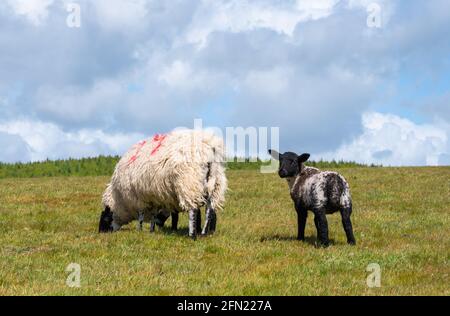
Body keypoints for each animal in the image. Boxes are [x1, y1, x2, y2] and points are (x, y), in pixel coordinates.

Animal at [97, 129, 225, 239]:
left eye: (105, 218)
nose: (101, 232)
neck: (120, 198)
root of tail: (209, 146)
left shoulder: (139, 198)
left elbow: (141, 216)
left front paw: (140, 230)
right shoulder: (156, 197)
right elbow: (157, 215)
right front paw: (153, 230)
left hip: (189, 181)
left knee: (193, 209)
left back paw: (192, 235)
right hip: (215, 183)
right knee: (210, 209)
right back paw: (204, 233)